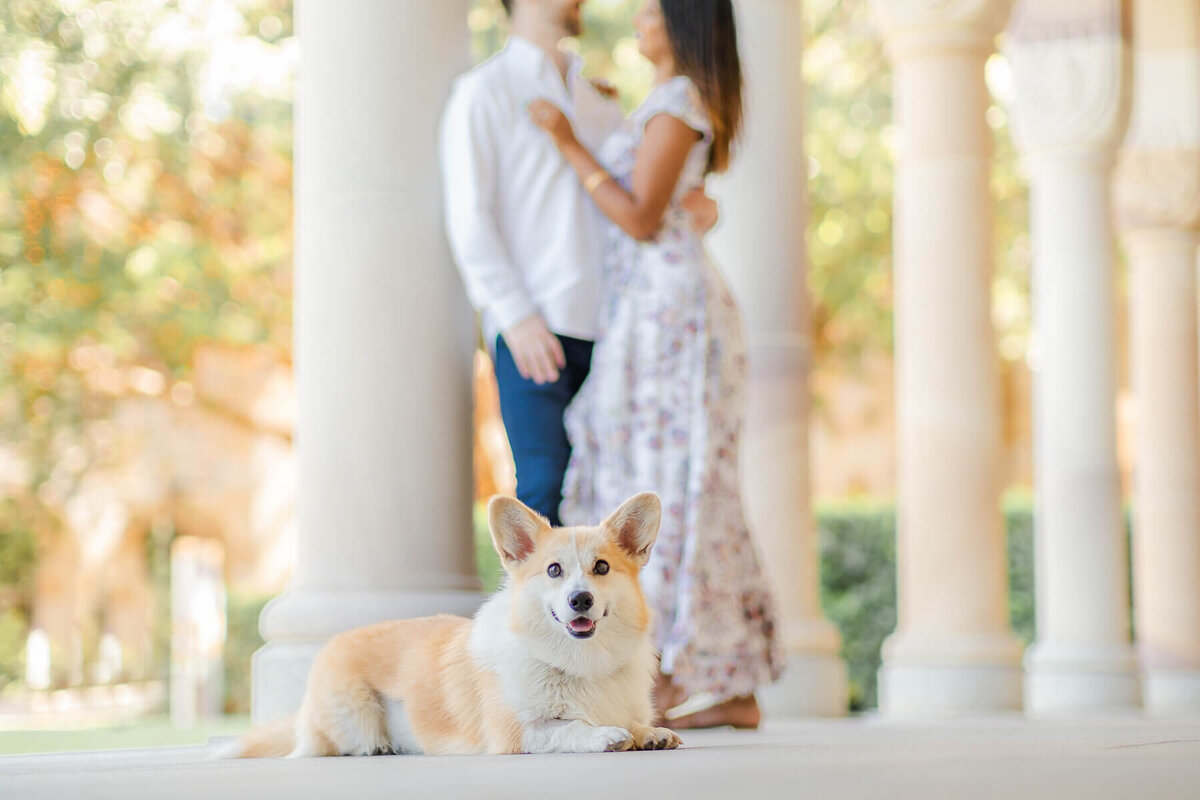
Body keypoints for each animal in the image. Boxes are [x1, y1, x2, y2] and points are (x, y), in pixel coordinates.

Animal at [220, 491, 681, 762]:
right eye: (554, 570)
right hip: (355, 714)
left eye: (601, 568)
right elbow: (570, 728)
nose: (579, 600)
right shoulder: (515, 734)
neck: (580, 663)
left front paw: (651, 733)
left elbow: (634, 723)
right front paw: (605, 735)